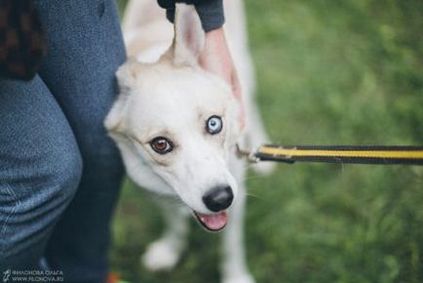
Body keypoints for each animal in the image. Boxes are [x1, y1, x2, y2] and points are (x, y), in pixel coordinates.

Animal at [104, 1, 274, 282]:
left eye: (214, 124)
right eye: (160, 144)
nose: (220, 199)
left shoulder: (237, 194)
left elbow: (231, 246)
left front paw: (235, 277)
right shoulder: (155, 192)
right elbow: (174, 224)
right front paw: (170, 250)